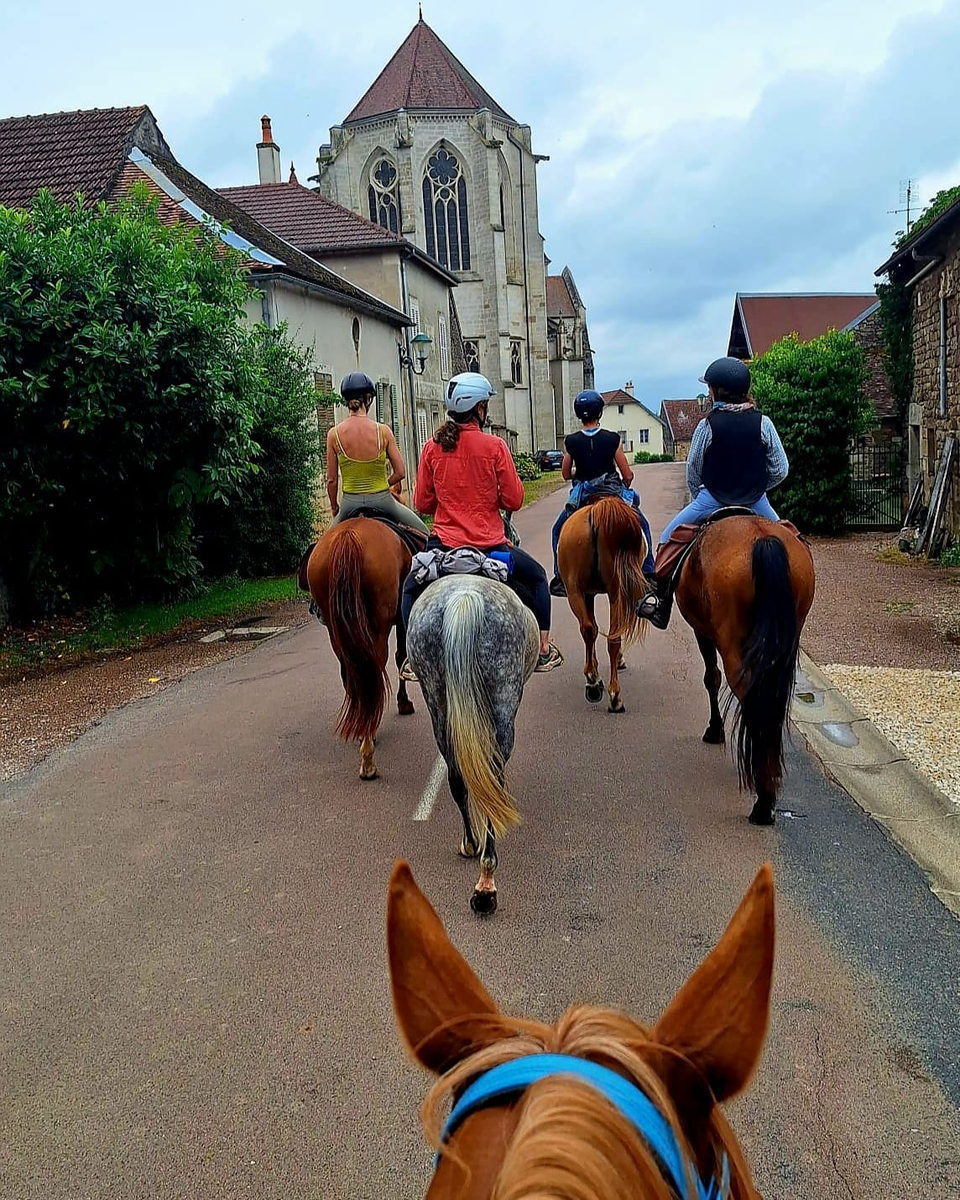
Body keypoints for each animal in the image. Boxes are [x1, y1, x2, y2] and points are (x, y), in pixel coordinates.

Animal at [305, 517, 415, 781]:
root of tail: (348, 537)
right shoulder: (401, 618)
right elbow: (400, 656)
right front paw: (404, 703)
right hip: (378, 624)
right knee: (374, 668)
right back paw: (368, 752)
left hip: (337, 628)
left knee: (352, 671)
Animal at [406, 575, 539, 915]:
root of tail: (464, 597)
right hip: (504, 695)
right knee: (492, 779)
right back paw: (486, 882)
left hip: (436, 697)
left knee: (457, 776)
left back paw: (470, 844)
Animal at [557, 496, 650, 713]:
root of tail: (599, 507)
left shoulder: (588, 594)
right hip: (614, 592)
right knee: (609, 634)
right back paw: (611, 693)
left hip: (578, 591)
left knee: (591, 629)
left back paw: (597, 684)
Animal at [675, 515, 816, 826]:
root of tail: (761, 538)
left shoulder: (703, 632)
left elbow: (711, 678)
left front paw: (715, 730)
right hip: (787, 641)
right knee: (772, 701)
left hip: (731, 641)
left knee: (750, 698)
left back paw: (762, 801)